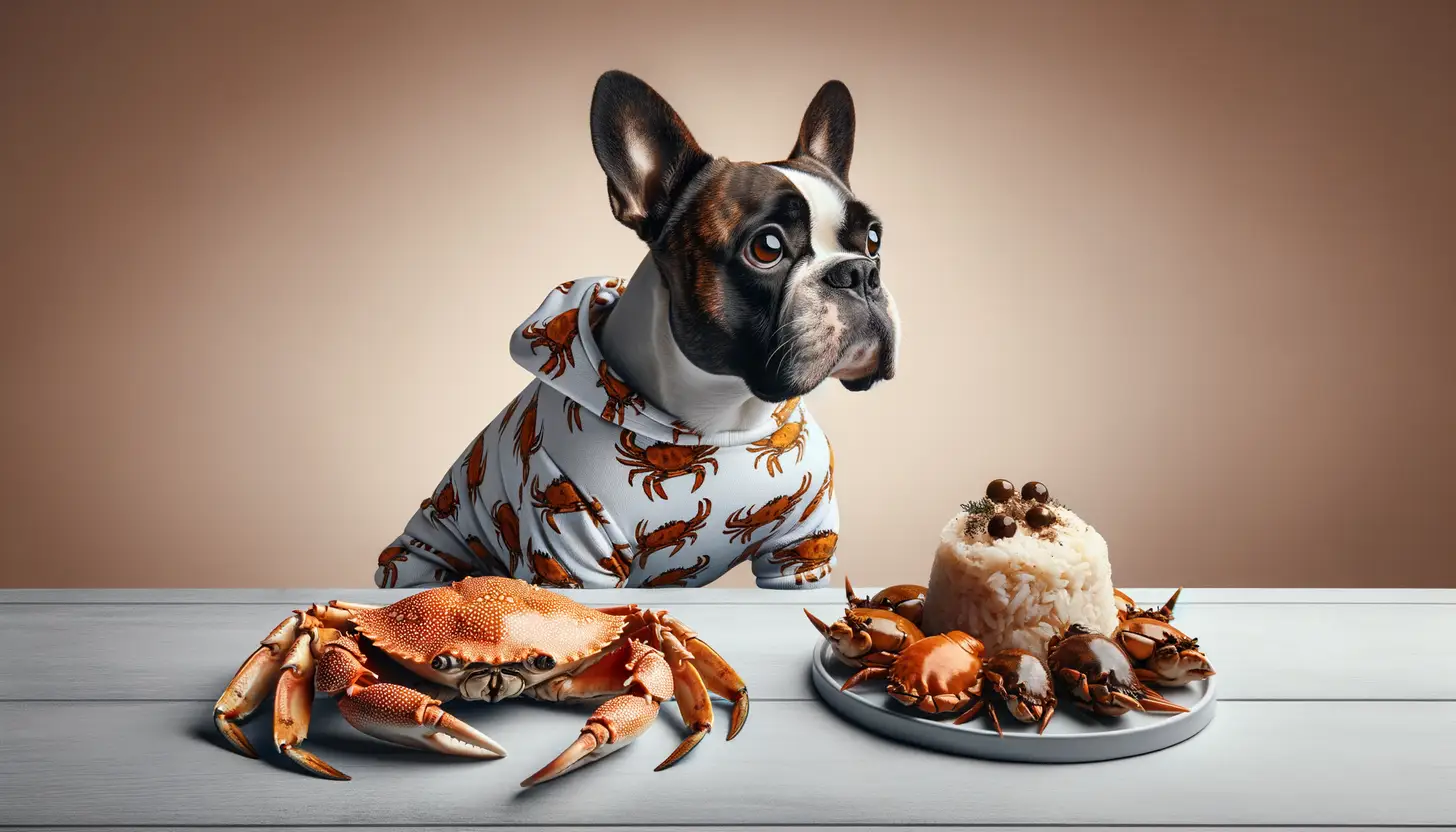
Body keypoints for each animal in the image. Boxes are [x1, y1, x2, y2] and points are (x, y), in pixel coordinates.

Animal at [372, 71, 896, 591]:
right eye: (767, 247)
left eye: (874, 238)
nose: (859, 273)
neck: (724, 416)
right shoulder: (572, 563)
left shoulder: (801, 552)